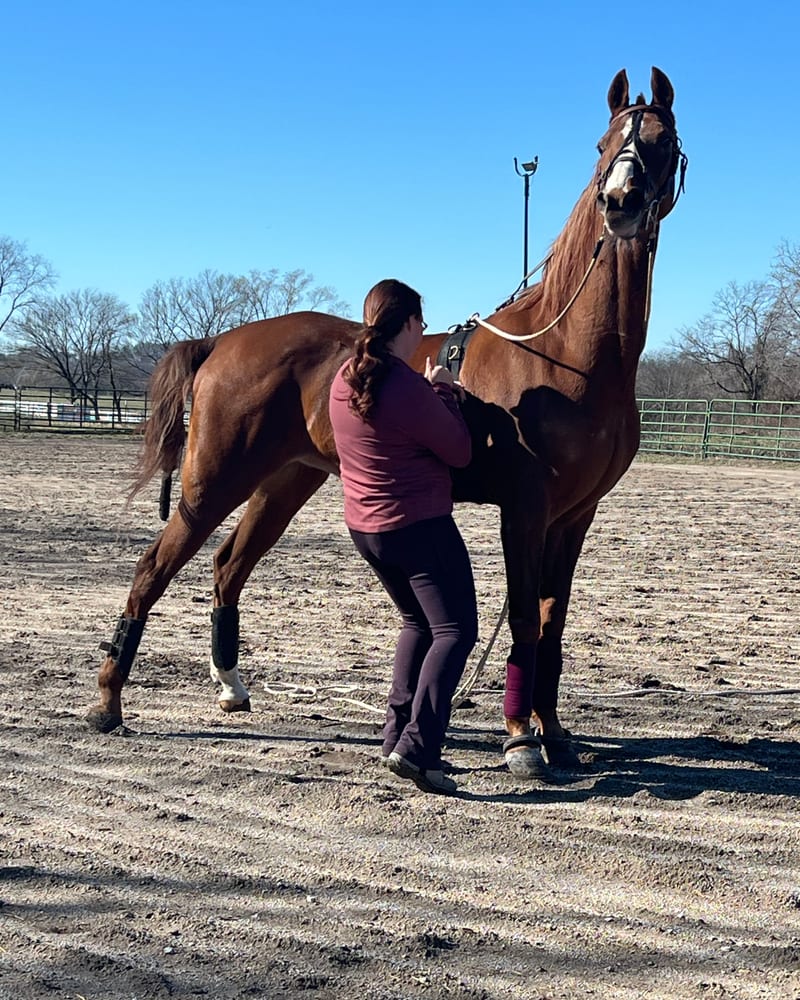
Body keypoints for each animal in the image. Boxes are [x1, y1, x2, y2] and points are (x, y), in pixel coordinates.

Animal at [89, 67, 686, 773]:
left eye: (662, 141)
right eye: (602, 144)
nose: (620, 200)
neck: (566, 352)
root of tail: (222, 341)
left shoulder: (575, 516)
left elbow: (551, 621)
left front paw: (554, 732)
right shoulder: (526, 508)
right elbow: (522, 620)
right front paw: (521, 739)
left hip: (286, 481)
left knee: (229, 565)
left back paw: (231, 687)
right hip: (212, 483)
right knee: (152, 570)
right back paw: (107, 702)